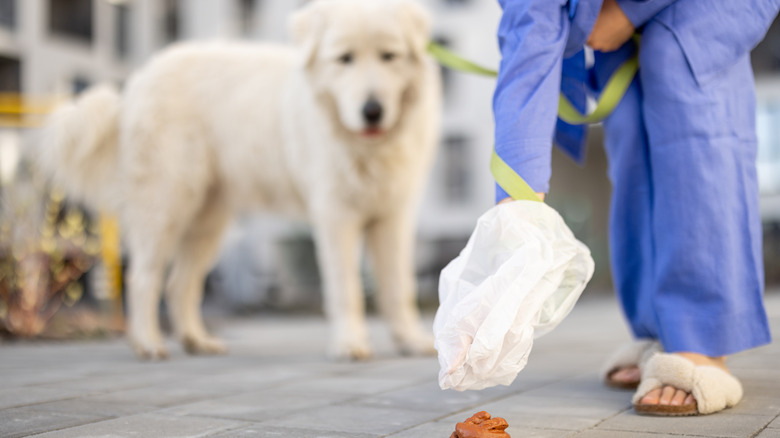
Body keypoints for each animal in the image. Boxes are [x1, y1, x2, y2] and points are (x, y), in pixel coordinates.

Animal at [39, 0, 442, 360]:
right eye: (344, 59)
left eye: (389, 56)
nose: (372, 111)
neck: (367, 149)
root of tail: (137, 83)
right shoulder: (335, 216)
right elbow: (347, 289)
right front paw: (350, 344)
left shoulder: (393, 217)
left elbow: (398, 288)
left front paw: (410, 340)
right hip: (166, 207)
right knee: (143, 279)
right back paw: (149, 343)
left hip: (207, 223)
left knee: (180, 284)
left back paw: (196, 341)